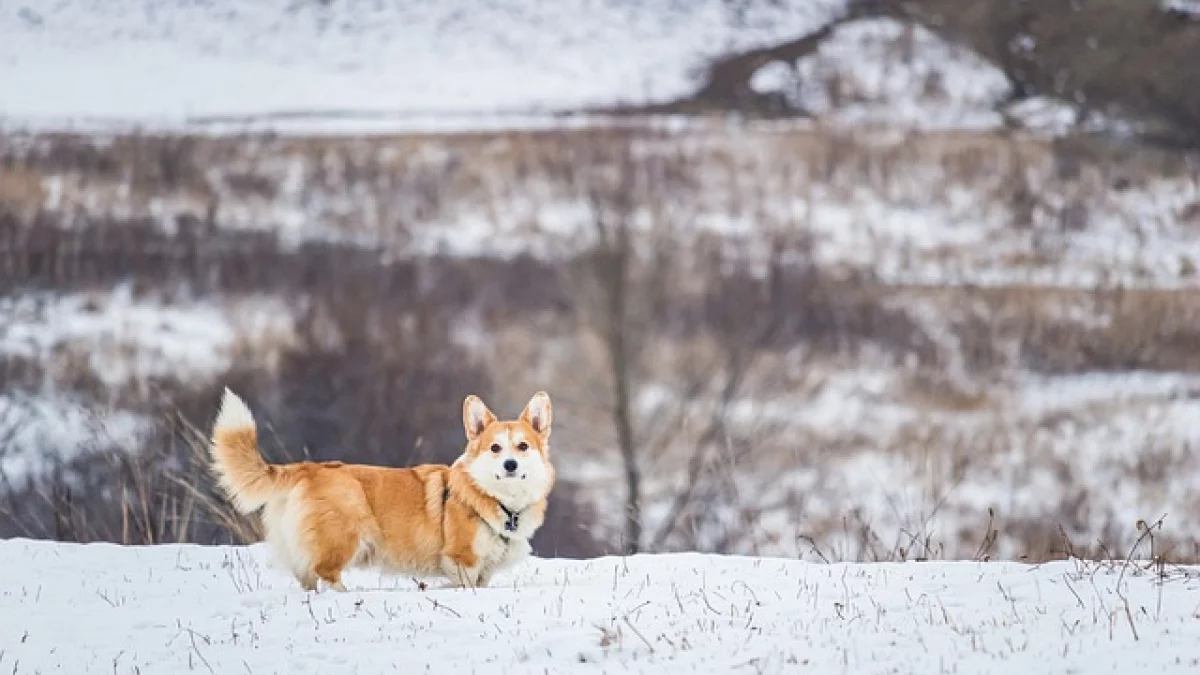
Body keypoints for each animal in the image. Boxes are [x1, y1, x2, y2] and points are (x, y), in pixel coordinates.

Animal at [208, 386, 554, 586]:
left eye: (523, 446)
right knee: (326, 575)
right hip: (343, 537)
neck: (501, 501)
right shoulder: (462, 561)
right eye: (495, 448)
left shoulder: (484, 572)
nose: (510, 465)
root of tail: (310, 468)